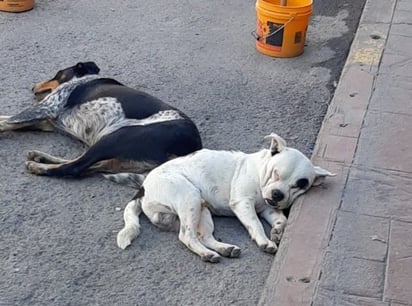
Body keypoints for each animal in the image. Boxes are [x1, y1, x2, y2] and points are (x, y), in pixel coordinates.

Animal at [0, 62, 203, 182]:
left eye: (57, 74)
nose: (33, 86)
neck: (85, 78)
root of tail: (192, 148)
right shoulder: (47, 121)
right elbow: (8, 119)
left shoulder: (46, 108)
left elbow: (7, 121)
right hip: (118, 155)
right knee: (87, 165)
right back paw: (41, 158)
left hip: (116, 137)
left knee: (75, 167)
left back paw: (39, 166)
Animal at [116, 134, 334, 262]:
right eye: (276, 173)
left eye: (300, 184)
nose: (277, 194)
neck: (259, 171)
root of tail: (142, 189)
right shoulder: (243, 204)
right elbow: (255, 224)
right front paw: (264, 241)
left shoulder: (269, 208)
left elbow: (281, 219)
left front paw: (278, 230)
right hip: (189, 198)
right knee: (186, 236)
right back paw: (207, 254)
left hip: (201, 211)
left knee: (202, 236)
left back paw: (224, 249)